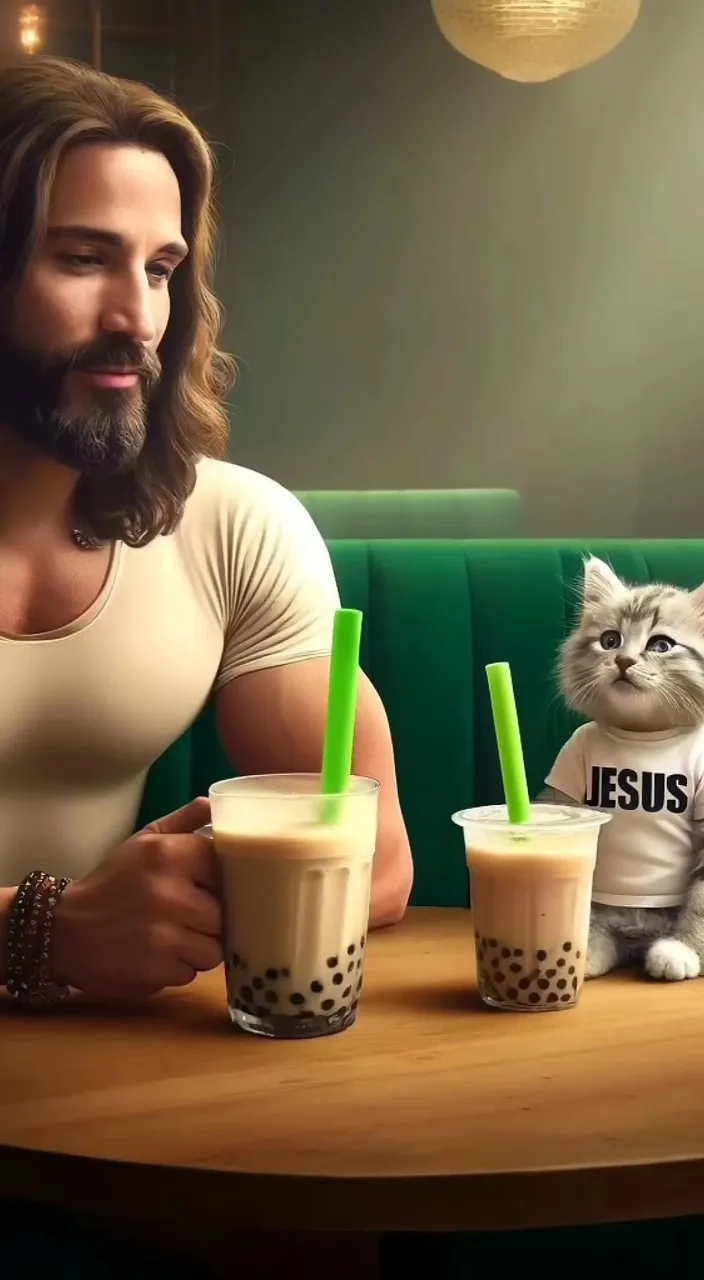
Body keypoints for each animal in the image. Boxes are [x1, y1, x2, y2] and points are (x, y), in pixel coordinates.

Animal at [545, 555, 704, 983]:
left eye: (661, 645)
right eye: (610, 640)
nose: (623, 660)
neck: (644, 735)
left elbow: (701, 901)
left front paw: (681, 950)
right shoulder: (568, 773)